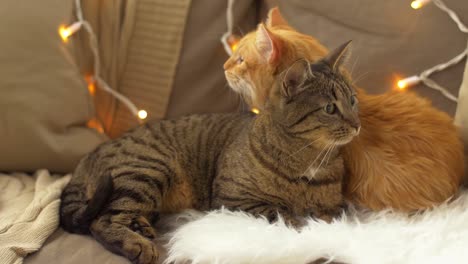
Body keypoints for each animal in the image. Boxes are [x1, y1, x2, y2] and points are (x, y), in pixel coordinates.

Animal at [60, 43, 356, 264]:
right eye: (330, 108)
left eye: (352, 100)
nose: (357, 124)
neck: (311, 159)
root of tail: (87, 158)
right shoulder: (233, 197)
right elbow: (283, 212)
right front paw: (303, 226)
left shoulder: (333, 206)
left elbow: (334, 215)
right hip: (149, 169)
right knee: (101, 220)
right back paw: (137, 243)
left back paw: (141, 226)